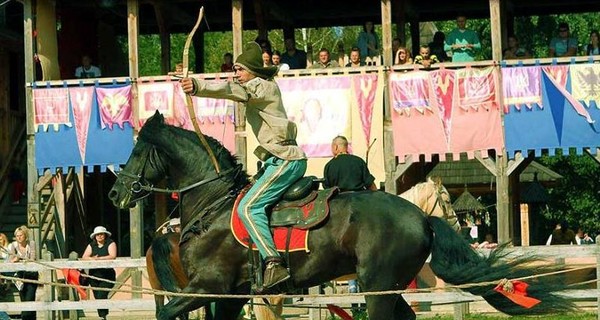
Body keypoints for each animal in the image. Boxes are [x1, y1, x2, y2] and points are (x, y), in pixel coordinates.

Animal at [109, 112, 576, 318]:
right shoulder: (227, 296)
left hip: (377, 287)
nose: (115, 192)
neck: (214, 204)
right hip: (386, 286)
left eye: (137, 151)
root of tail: (420, 218)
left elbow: (164, 314)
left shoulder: (210, 287)